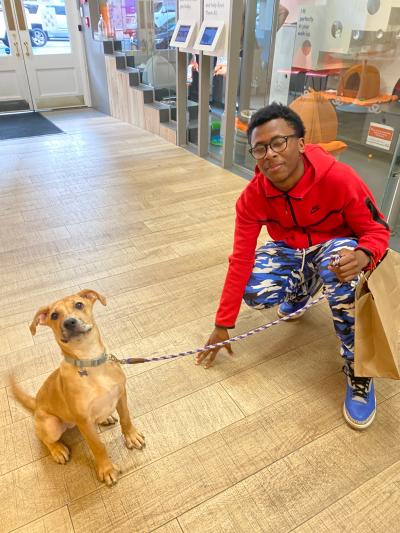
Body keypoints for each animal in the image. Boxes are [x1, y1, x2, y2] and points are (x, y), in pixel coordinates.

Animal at [10, 288, 145, 484]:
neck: (90, 361)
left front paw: (131, 436)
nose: (69, 322)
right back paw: (57, 450)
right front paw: (106, 469)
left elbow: (126, 418)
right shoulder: (84, 422)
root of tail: (36, 403)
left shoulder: (121, 394)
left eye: (79, 305)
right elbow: (98, 446)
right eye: (55, 315)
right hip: (51, 424)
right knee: (43, 438)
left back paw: (105, 417)